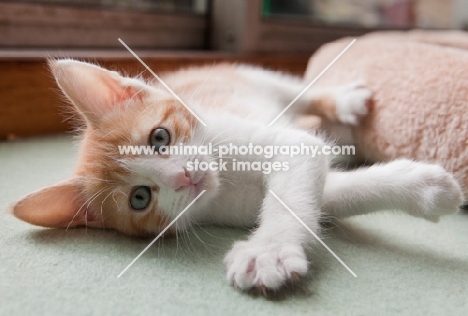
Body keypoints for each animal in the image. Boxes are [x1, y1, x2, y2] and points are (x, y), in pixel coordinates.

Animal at [9, 60, 462, 292]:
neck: (224, 181)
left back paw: (344, 101)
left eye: (160, 137)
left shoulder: (285, 143)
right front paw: (426, 188)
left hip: (244, 75)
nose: (185, 176)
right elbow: (333, 194)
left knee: (297, 89)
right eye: (140, 198)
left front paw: (268, 251)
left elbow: (293, 184)